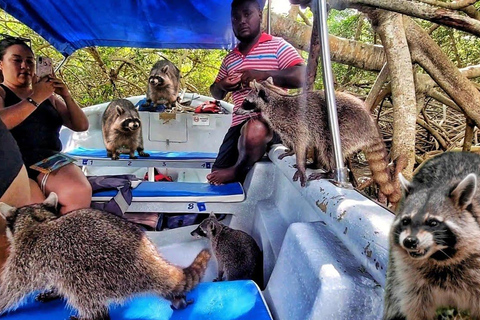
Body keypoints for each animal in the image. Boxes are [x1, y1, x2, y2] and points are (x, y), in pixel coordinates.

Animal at [0, 192, 212, 320]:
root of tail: (147, 260)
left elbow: (10, 289)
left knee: (78, 290)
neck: (37, 221)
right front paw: (53, 291)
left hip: (90, 270)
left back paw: (91, 315)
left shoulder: (25, 257)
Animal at [240, 79, 402, 206]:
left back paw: (330, 172)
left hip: (346, 128)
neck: (274, 98)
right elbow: (298, 143)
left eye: (246, 101)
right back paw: (315, 164)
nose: (236, 111)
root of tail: (371, 122)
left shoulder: (296, 122)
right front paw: (292, 151)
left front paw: (301, 165)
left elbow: (302, 142)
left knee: (328, 147)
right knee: (320, 143)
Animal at [384, 151, 480, 318]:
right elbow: (413, 308)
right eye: (405, 221)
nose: (410, 241)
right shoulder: (411, 280)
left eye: (433, 223)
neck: (440, 258)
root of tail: (460, 152)